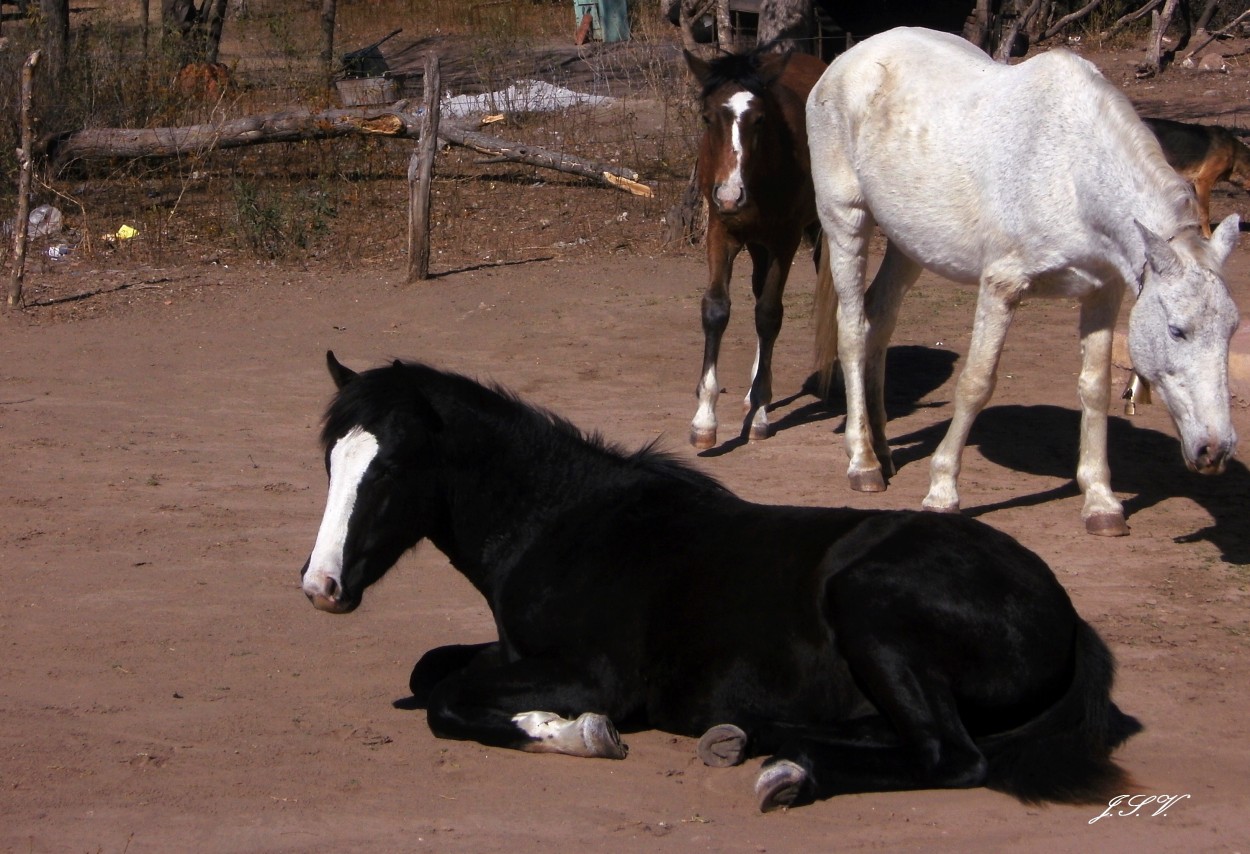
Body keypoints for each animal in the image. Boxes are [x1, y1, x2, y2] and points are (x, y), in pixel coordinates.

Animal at [302, 355, 1145, 815]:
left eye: (391, 465)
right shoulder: (514, 651)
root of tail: (1069, 617)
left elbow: (448, 703)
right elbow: (433, 671)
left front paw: (577, 733)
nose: (321, 586)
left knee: (951, 758)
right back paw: (752, 740)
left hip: (869, 605)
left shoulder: (594, 675)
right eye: (331, 459)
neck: (560, 523)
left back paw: (787, 774)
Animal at [690, 47, 825, 450]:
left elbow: (768, 315)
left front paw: (761, 416)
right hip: (757, 246)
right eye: (707, 117)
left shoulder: (785, 239)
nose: (730, 195)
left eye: (760, 119)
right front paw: (704, 421)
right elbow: (716, 310)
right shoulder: (721, 233)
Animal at [810, 30, 1240, 537]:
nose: (1215, 450)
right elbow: (976, 382)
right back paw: (863, 464)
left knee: (879, 319)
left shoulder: (1103, 292)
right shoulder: (1002, 287)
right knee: (853, 331)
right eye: (1177, 330)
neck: (1071, 170)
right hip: (847, 221)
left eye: (1232, 330)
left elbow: (1095, 389)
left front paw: (1101, 502)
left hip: (907, 244)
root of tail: (846, 60)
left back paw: (882, 448)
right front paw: (942, 491)